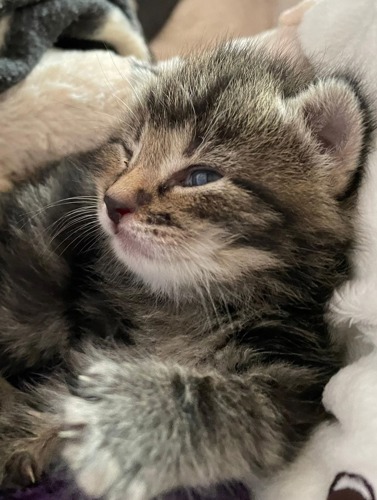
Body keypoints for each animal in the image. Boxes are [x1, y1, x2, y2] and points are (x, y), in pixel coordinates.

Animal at [0, 40, 370, 500]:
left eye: (199, 177)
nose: (112, 202)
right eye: (128, 153)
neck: (186, 300)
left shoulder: (292, 379)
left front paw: (117, 432)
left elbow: (224, 407)